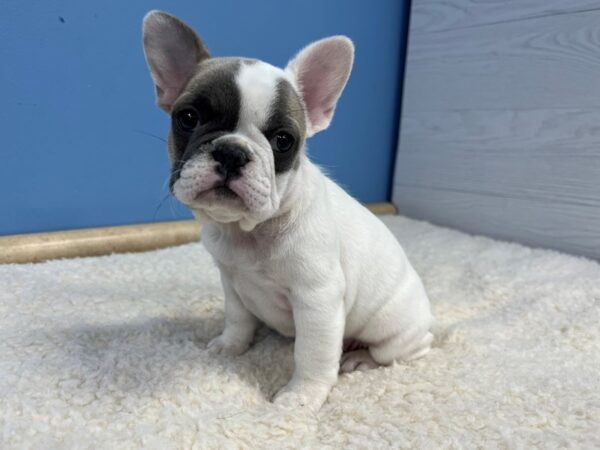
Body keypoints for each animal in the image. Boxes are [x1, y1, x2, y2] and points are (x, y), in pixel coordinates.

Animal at [142, 10, 432, 412]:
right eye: (187, 118)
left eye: (283, 141)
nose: (232, 151)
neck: (249, 231)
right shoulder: (231, 281)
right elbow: (238, 319)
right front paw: (230, 347)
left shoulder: (317, 299)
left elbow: (313, 354)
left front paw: (301, 396)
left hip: (393, 329)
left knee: (400, 352)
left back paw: (361, 358)